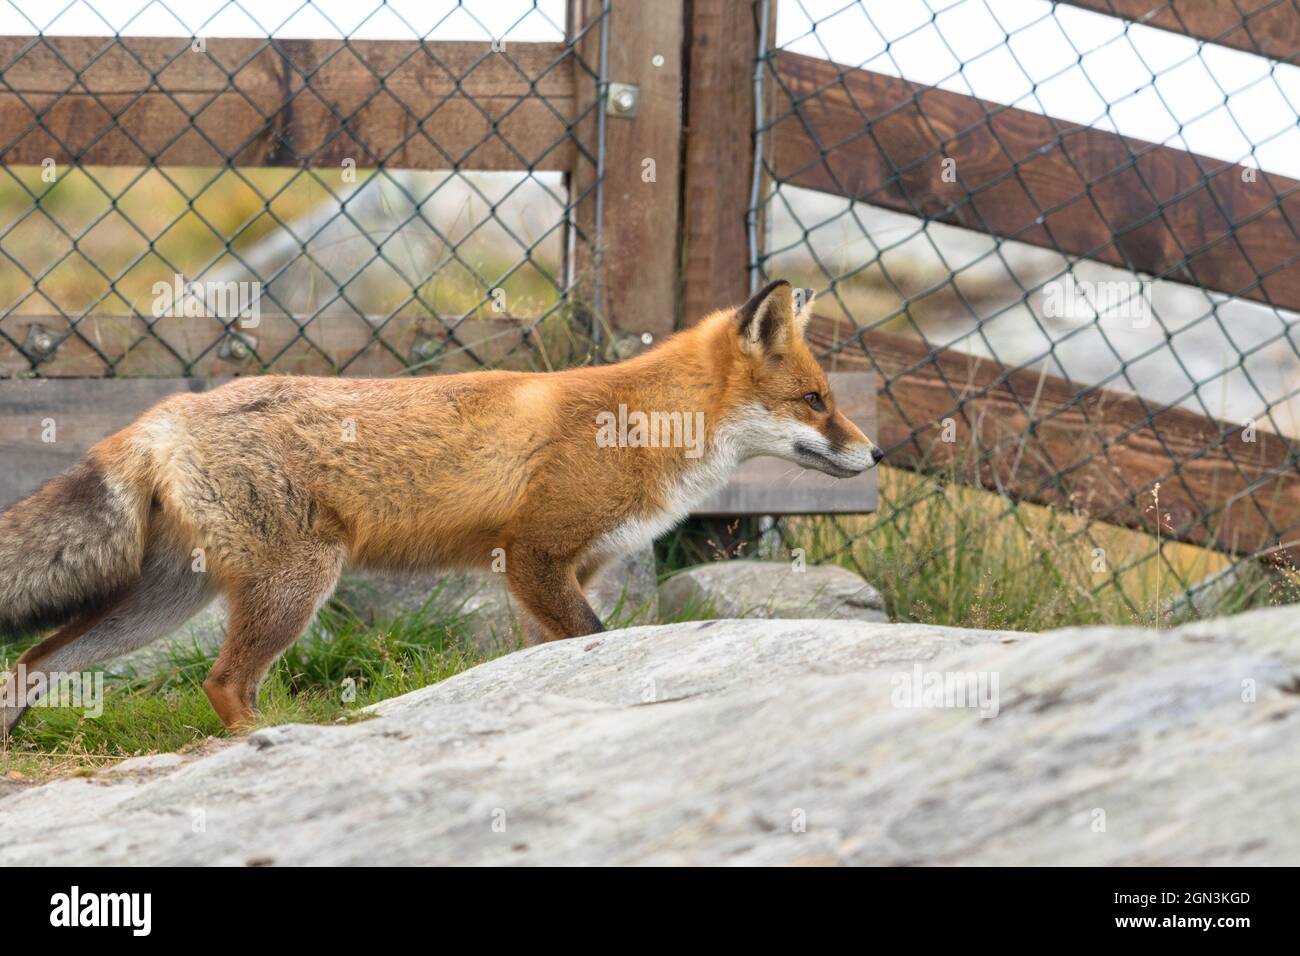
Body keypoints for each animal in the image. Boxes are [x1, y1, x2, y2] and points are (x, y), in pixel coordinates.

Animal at [0, 280, 882, 735]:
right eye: (816, 401)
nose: (875, 456)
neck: (638, 424)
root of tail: (166, 410)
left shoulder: (558, 577)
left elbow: (555, 660)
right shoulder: (535, 557)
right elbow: (596, 639)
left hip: (166, 600)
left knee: (36, 662)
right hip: (295, 584)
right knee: (221, 684)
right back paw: (267, 741)